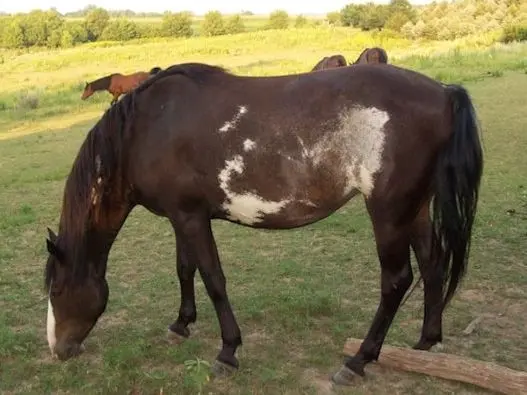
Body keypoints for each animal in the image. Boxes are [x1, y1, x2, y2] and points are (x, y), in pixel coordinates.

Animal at [44, 62, 482, 386]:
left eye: (58, 290)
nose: (58, 350)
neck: (148, 127)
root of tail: (444, 92)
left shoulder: (190, 218)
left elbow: (213, 278)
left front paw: (227, 351)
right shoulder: (182, 216)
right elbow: (185, 268)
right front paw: (181, 324)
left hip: (389, 213)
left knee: (396, 281)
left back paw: (358, 361)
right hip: (415, 209)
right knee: (433, 265)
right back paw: (425, 343)